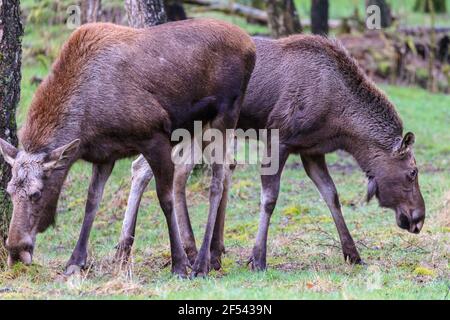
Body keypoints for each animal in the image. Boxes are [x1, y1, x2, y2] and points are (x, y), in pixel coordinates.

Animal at [0, 19, 255, 278]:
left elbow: (165, 199)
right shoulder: (104, 155)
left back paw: (202, 262)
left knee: (218, 178)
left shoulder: (155, 137)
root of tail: (249, 43)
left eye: (36, 193)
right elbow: (92, 201)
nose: (15, 251)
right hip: (197, 126)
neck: (86, 122)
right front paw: (75, 260)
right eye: (9, 191)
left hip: (225, 116)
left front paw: (179, 264)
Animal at [115, 35, 426, 272]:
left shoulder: (311, 151)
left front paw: (352, 253)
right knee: (161, 170)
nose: (418, 218)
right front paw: (257, 258)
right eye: (413, 172)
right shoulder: (279, 138)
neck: (341, 125)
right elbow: (270, 197)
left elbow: (331, 195)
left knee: (153, 168)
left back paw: (132, 250)